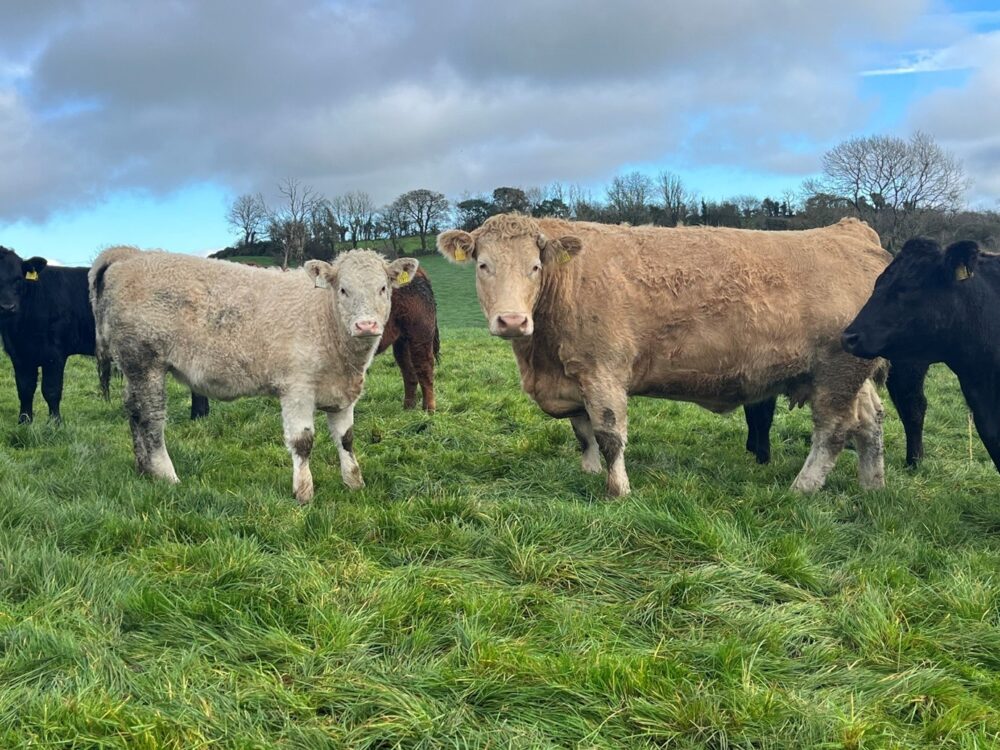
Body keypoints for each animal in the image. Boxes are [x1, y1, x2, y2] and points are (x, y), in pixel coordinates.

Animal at [0, 246, 208, 423]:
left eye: (18, 278)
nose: (7, 307)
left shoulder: (54, 355)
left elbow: (51, 390)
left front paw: (54, 423)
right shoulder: (19, 355)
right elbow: (24, 389)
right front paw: (24, 422)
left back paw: (198, 417)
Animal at [89, 246, 418, 502]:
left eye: (383, 288)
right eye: (343, 290)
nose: (366, 325)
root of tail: (129, 254)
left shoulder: (343, 392)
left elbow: (346, 439)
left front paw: (354, 482)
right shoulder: (297, 388)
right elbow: (303, 441)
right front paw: (304, 492)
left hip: (133, 367)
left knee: (133, 411)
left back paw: (143, 469)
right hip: (146, 361)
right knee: (151, 418)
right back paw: (167, 475)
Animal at [438, 214, 890, 496]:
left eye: (534, 266)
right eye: (483, 265)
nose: (512, 321)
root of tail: (846, 232)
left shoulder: (603, 372)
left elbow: (609, 436)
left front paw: (617, 490)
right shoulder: (573, 379)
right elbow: (583, 434)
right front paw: (588, 474)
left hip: (836, 373)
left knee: (833, 431)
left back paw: (801, 489)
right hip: (851, 374)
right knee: (870, 420)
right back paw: (872, 486)